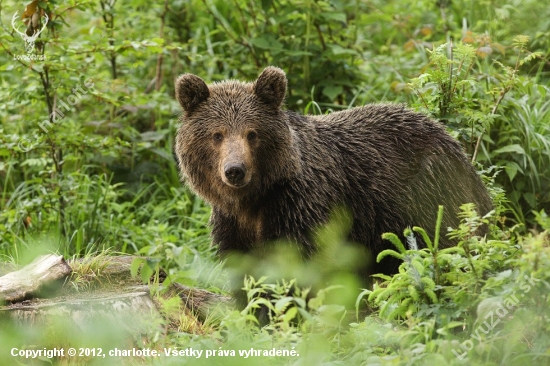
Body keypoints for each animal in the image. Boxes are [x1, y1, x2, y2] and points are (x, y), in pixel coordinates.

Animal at [175, 66, 494, 278]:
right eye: (217, 135)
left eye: (252, 133)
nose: (235, 171)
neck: (254, 201)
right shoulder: (233, 225)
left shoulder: (302, 208)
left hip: (428, 194)